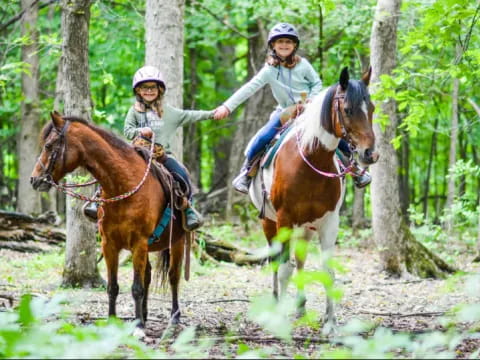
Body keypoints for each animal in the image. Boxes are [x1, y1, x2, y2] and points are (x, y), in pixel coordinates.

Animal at [30, 112, 186, 330]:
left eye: (49, 145)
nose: (34, 179)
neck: (123, 184)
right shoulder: (109, 244)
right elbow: (113, 287)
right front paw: (115, 322)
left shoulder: (138, 243)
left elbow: (136, 287)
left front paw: (138, 326)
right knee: (148, 275)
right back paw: (146, 315)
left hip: (178, 242)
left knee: (173, 276)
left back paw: (174, 317)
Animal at [249, 67, 376, 332]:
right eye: (347, 109)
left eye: (372, 108)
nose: (370, 154)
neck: (310, 160)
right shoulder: (284, 220)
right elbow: (283, 269)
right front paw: (280, 321)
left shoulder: (329, 223)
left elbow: (327, 271)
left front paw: (331, 323)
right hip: (269, 223)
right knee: (277, 262)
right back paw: (276, 304)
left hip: (306, 228)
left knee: (300, 261)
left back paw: (300, 308)